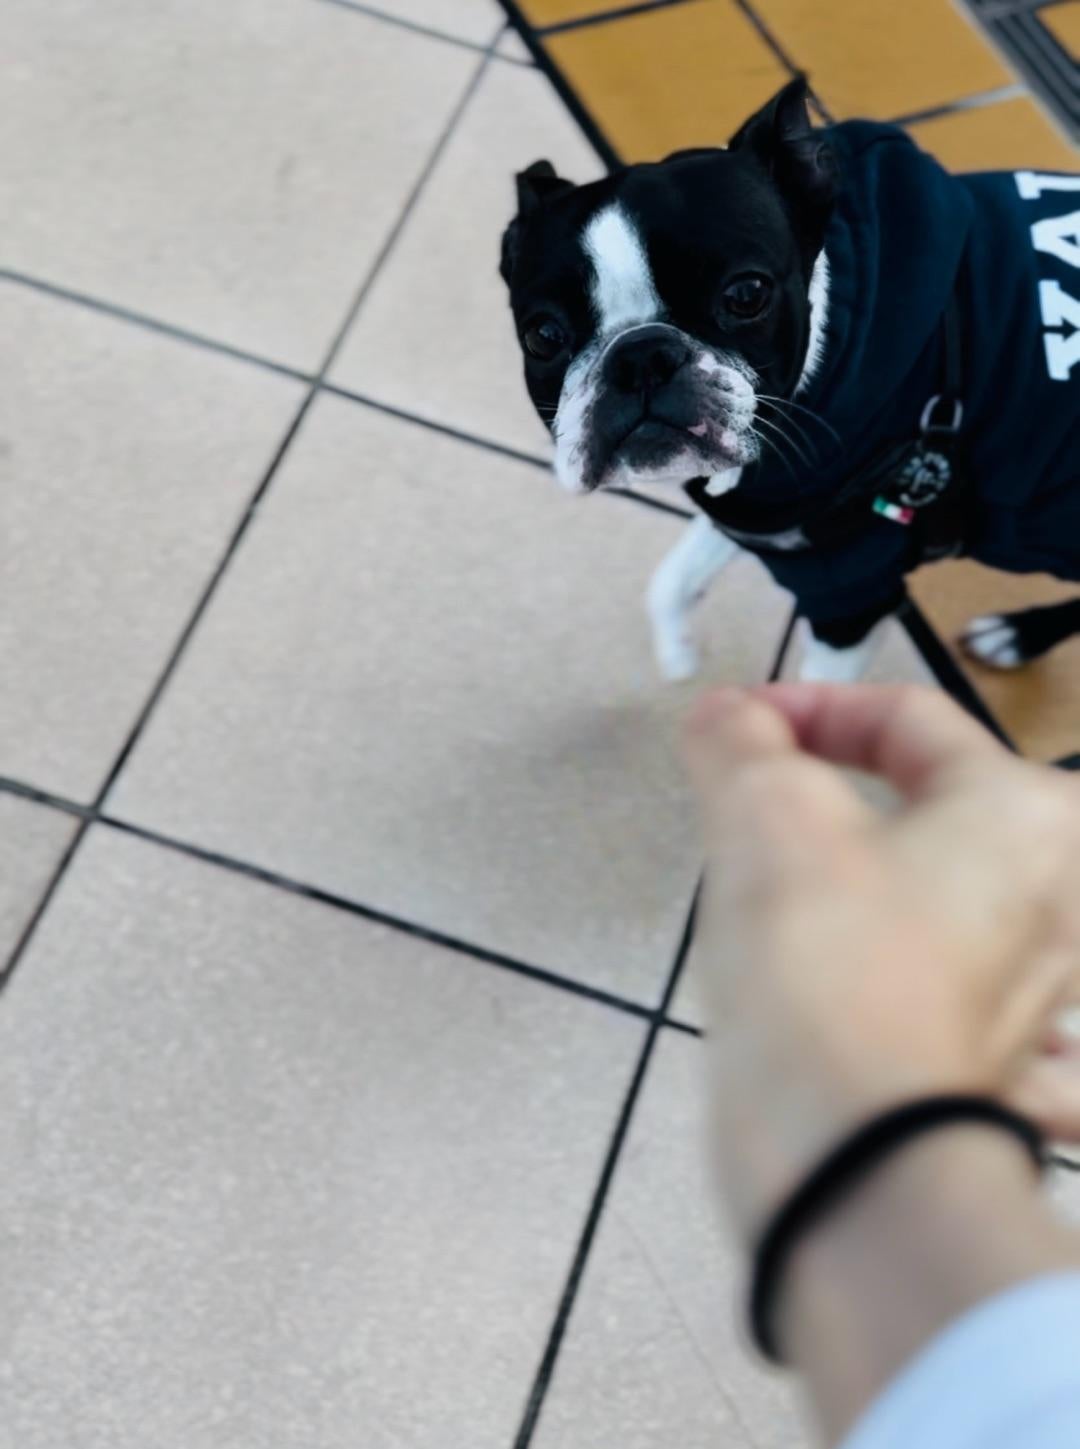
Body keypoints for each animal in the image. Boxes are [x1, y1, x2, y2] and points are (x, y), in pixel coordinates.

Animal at [499, 78, 1080, 685]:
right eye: (542, 335)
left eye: (746, 294)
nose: (640, 356)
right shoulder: (758, 514)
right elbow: (675, 576)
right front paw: (677, 648)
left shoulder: (850, 592)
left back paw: (1019, 636)